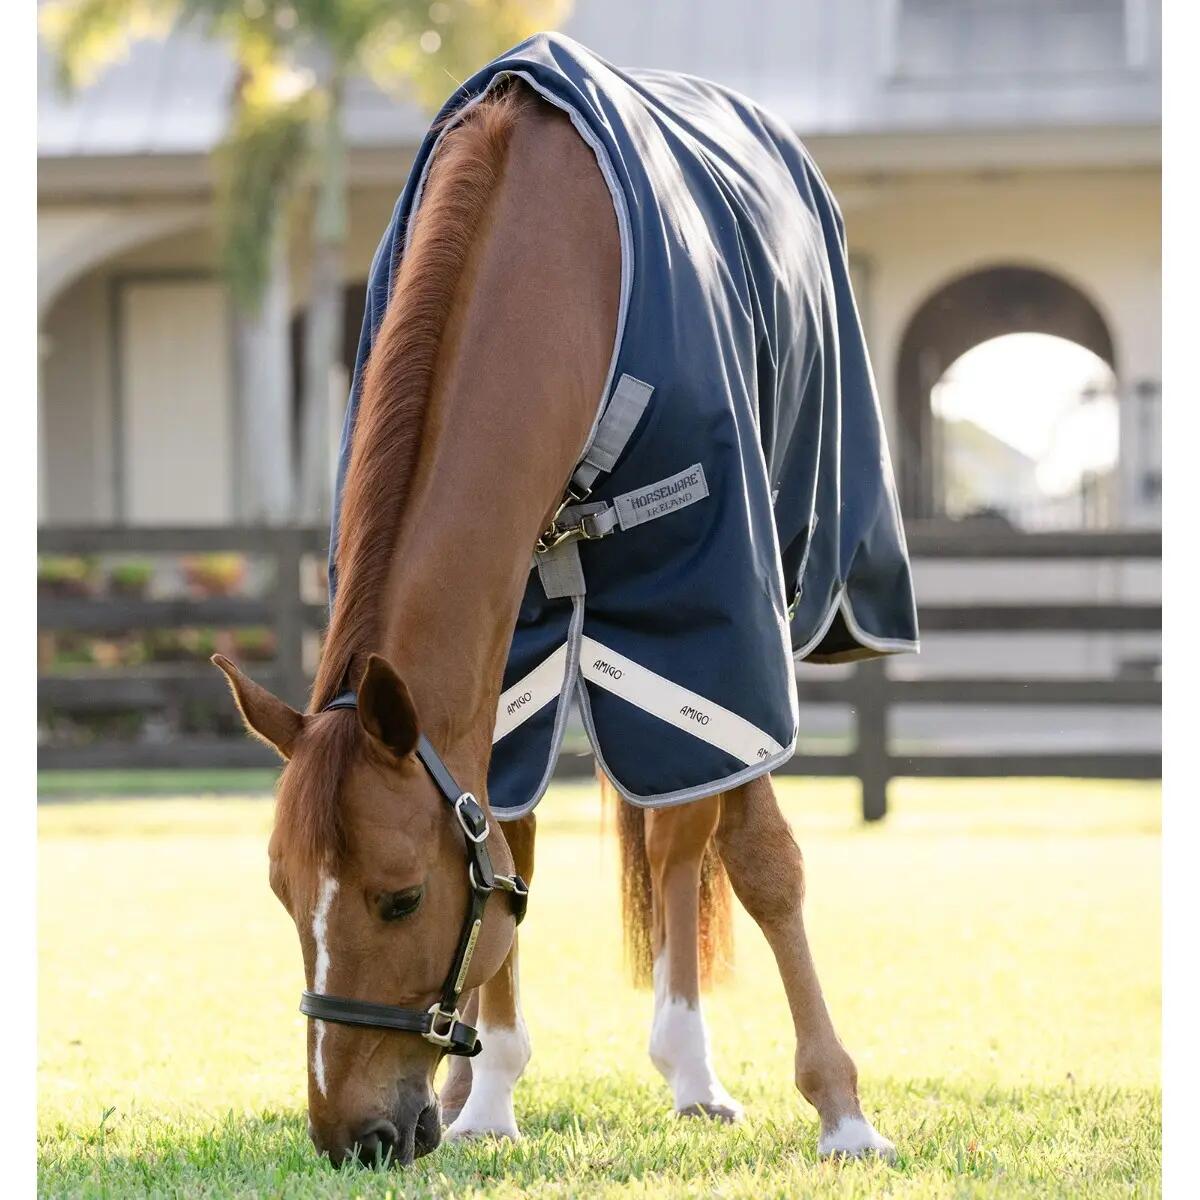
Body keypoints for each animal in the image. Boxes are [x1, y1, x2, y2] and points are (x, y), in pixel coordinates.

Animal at [215, 47, 902, 1169]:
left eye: (400, 899)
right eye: (282, 894)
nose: (352, 1137)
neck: (555, 261)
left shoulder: (720, 610)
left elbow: (760, 860)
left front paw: (841, 1112)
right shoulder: (513, 645)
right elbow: (508, 838)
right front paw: (489, 1095)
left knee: (682, 838)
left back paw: (692, 1071)